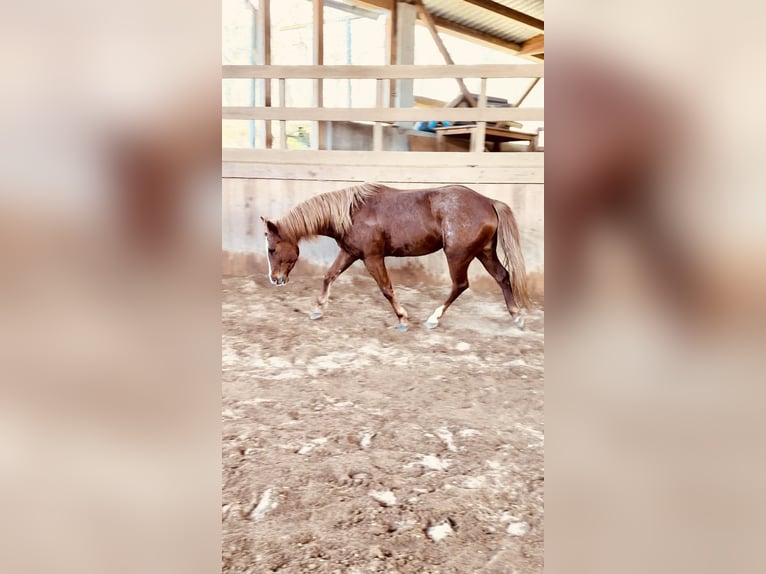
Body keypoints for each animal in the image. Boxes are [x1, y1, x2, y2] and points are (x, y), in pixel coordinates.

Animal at [260, 182, 532, 330]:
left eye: (272, 248)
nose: (274, 279)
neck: (352, 213)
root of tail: (488, 201)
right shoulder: (350, 253)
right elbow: (329, 276)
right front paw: (317, 310)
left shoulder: (372, 257)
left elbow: (386, 289)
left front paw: (402, 318)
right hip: (484, 252)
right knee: (502, 276)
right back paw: (517, 317)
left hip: (458, 255)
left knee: (460, 284)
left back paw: (433, 319)